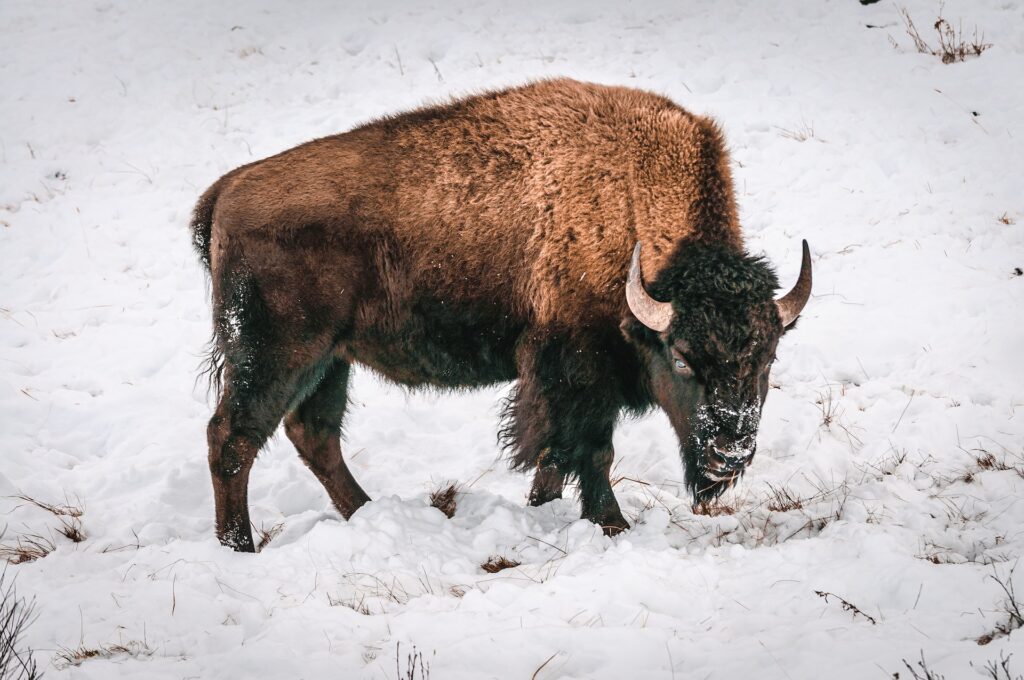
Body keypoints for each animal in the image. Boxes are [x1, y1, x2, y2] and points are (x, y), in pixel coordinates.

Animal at [190, 78, 806, 553]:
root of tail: (224, 191)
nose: (730, 453)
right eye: (681, 359)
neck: (631, 200)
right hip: (277, 355)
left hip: (329, 359)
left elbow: (556, 455)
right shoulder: (579, 370)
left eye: (769, 359)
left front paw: (543, 506)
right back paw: (240, 547)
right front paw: (611, 524)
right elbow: (592, 450)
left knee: (312, 433)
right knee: (233, 438)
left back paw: (367, 513)